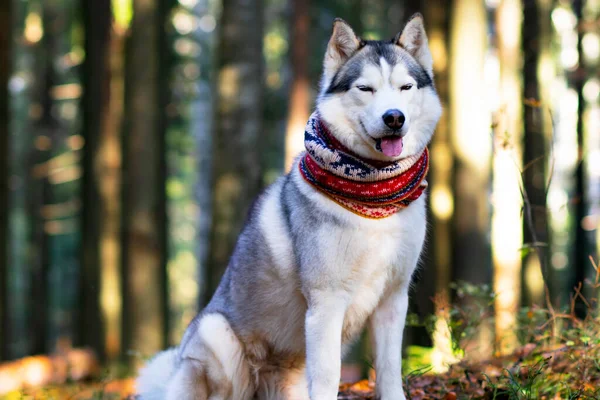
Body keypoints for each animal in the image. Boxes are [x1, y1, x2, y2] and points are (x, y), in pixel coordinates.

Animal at [138, 12, 442, 400]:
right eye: (365, 89)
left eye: (405, 88)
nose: (394, 118)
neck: (373, 197)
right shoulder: (326, 302)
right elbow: (328, 375)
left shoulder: (393, 297)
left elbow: (390, 371)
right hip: (214, 333)